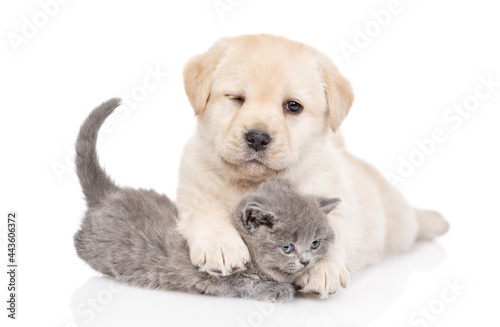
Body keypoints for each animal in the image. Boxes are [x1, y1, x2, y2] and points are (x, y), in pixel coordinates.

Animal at [74, 98, 340, 304]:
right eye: (287, 248)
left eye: (315, 244)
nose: (305, 260)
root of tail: (109, 194)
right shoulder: (211, 276)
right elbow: (243, 283)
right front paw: (279, 289)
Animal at [177, 34, 450, 298]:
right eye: (236, 98)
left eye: (293, 105)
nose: (257, 137)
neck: (254, 182)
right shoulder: (193, 190)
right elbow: (206, 210)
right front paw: (221, 245)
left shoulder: (334, 200)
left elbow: (332, 231)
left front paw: (323, 269)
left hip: (398, 223)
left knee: (413, 221)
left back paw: (436, 221)